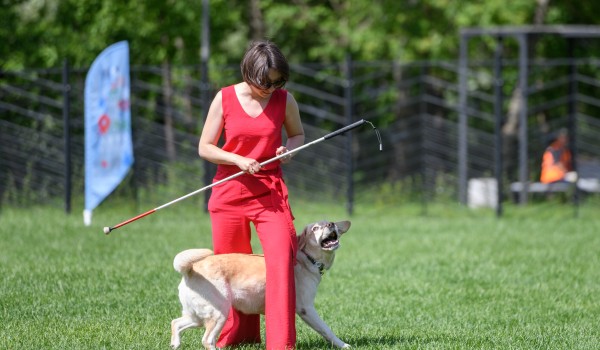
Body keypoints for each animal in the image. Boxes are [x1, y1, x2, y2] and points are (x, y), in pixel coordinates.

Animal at [170, 220, 352, 348]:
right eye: (315, 228)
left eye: (330, 222)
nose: (331, 224)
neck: (306, 258)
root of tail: (190, 269)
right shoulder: (306, 308)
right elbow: (326, 329)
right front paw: (343, 345)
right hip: (219, 312)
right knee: (207, 340)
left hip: (198, 316)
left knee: (176, 323)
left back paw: (175, 344)